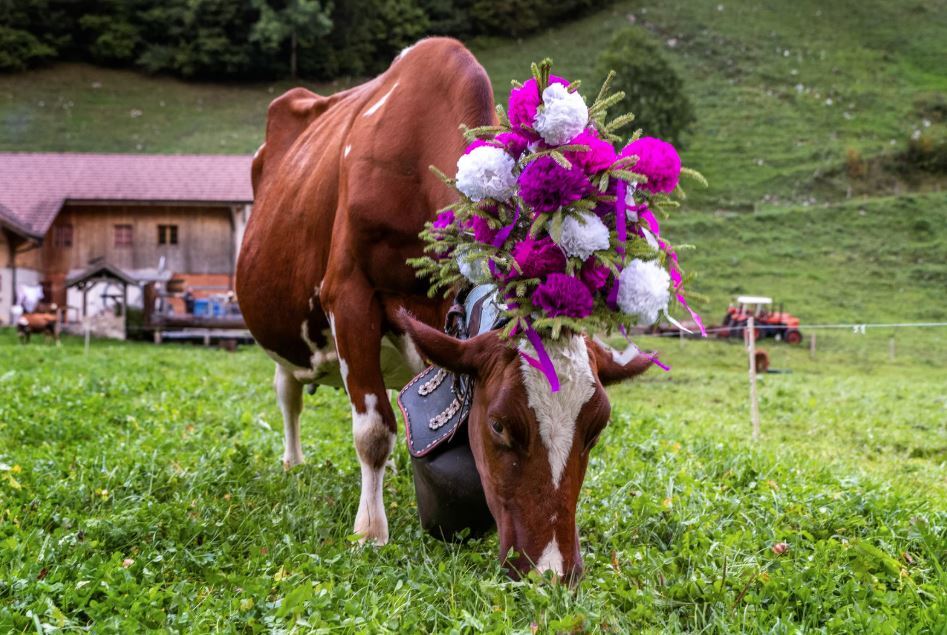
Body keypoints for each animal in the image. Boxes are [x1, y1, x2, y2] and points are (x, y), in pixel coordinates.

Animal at [237, 37, 654, 582]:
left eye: (597, 427)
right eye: (499, 425)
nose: (552, 571)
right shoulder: (346, 293)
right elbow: (372, 430)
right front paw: (370, 533)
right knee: (289, 392)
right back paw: (293, 462)